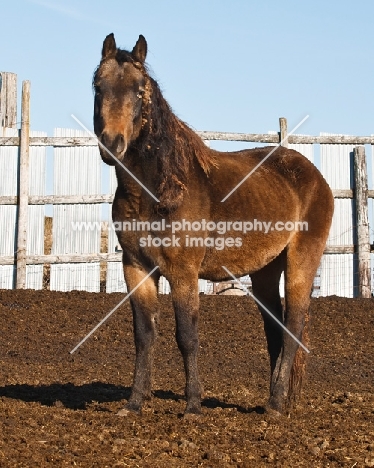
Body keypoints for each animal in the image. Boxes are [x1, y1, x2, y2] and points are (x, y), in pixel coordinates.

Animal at [93, 33, 334, 416]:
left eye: (139, 90)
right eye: (99, 87)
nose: (112, 144)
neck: (158, 190)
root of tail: (313, 176)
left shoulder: (183, 273)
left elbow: (187, 336)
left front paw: (192, 404)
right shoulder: (136, 268)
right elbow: (144, 335)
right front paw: (133, 403)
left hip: (301, 262)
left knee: (293, 326)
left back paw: (276, 404)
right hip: (265, 272)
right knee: (275, 329)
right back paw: (272, 397)